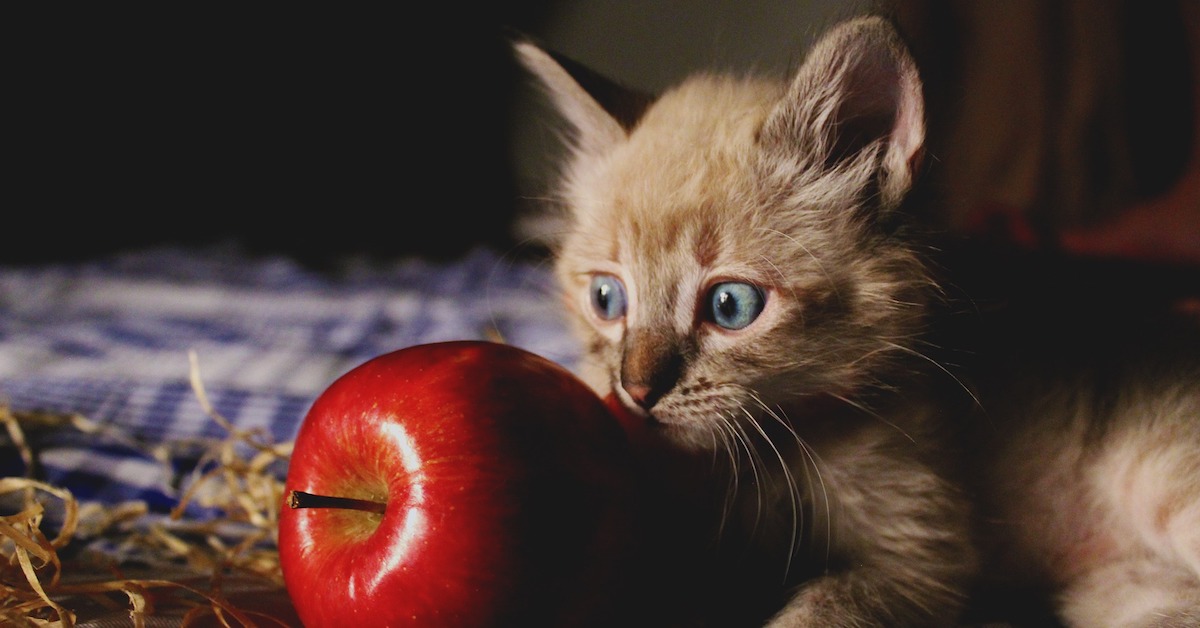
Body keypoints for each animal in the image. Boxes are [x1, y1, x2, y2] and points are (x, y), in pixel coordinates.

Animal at [513, 12, 1200, 624]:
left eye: (730, 306)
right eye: (607, 300)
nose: (635, 390)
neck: (762, 454)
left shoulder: (922, 555)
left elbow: (821, 607)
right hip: (1121, 592)